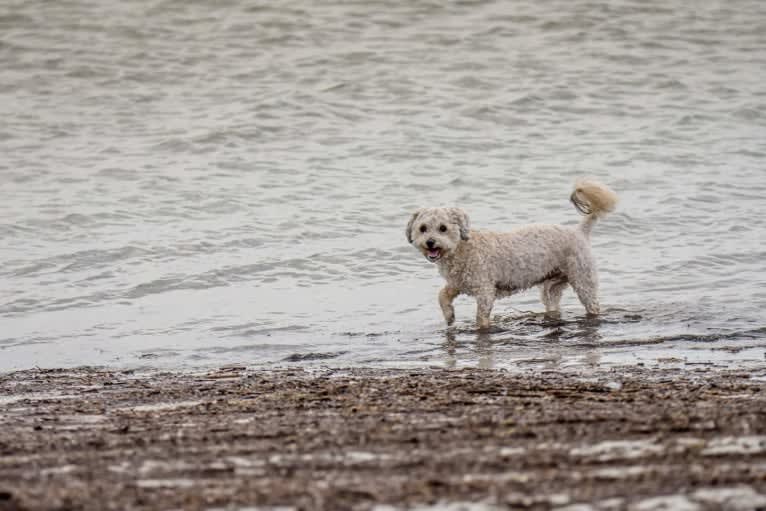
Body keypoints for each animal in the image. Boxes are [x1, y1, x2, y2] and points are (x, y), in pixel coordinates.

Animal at [408, 180, 616, 330]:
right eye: (423, 228)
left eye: (443, 228)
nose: (430, 242)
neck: (462, 249)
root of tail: (579, 231)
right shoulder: (458, 283)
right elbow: (442, 295)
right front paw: (449, 316)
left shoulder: (484, 290)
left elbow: (481, 316)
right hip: (552, 286)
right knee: (552, 303)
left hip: (583, 280)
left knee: (592, 304)